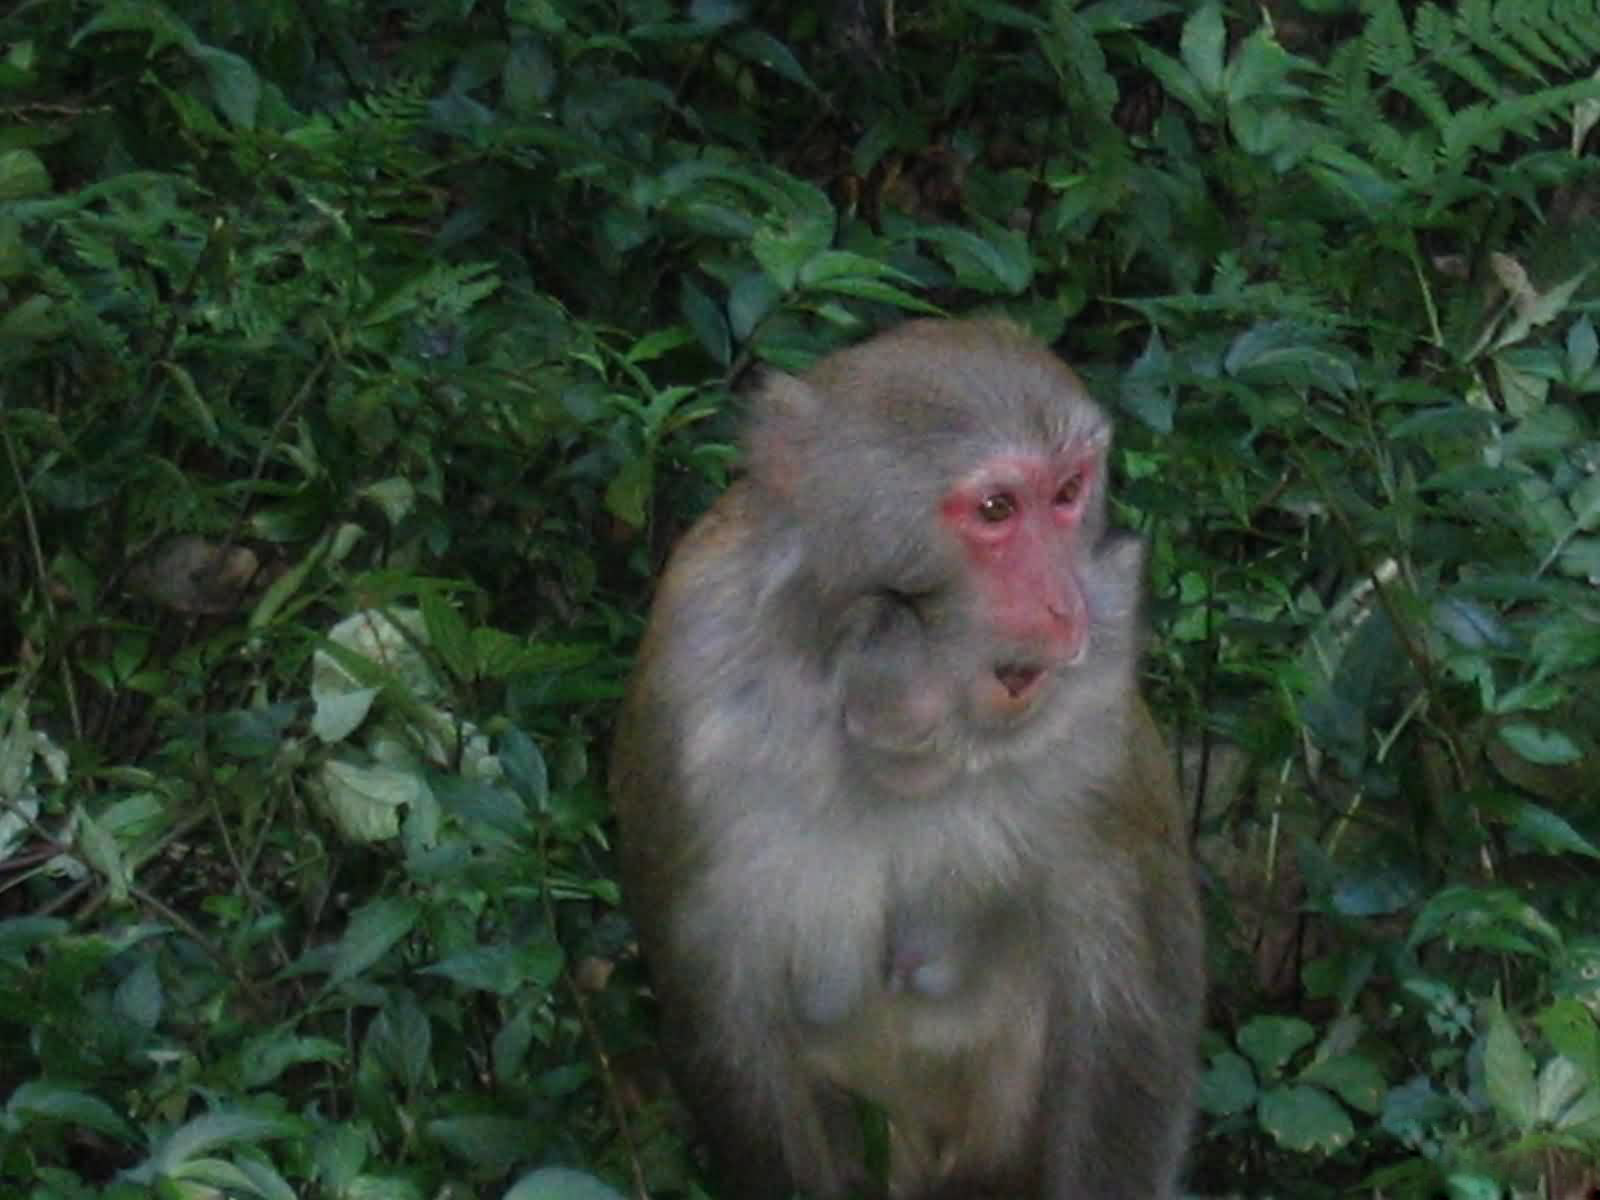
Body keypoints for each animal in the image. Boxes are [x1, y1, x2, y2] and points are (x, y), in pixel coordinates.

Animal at [608, 320, 1203, 1200]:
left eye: (1068, 492)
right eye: (996, 508)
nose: (1067, 605)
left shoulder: (1095, 728)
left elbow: (1127, 1015)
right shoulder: (692, 688)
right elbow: (726, 1021)